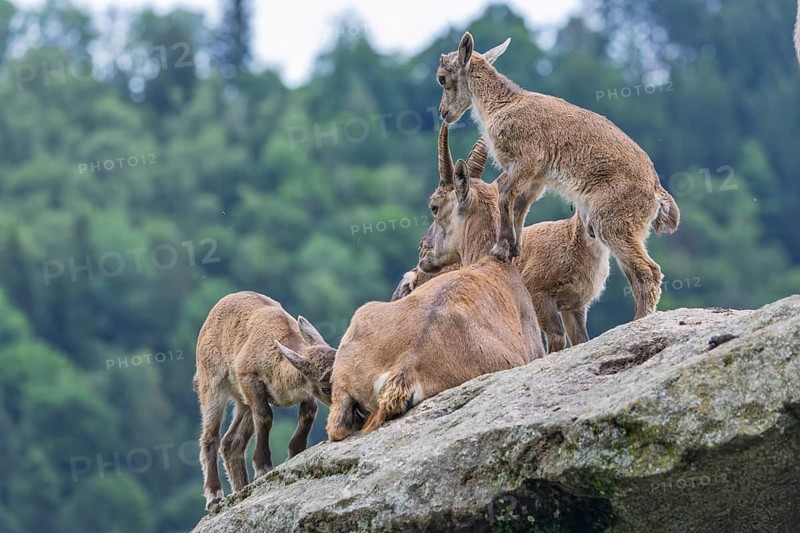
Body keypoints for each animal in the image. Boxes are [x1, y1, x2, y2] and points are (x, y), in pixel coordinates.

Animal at [194, 291, 335, 510]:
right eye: (326, 387)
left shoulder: (303, 389)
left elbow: (310, 409)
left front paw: (295, 450)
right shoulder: (249, 378)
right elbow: (265, 416)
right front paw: (263, 467)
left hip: (242, 401)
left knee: (232, 441)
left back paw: (241, 488)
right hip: (213, 384)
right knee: (210, 437)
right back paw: (214, 495)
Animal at [392, 130, 610, 353]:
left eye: (434, 207)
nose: (423, 248)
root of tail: (413, 278)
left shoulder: (574, 307)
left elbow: (580, 339)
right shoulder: (540, 296)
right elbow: (556, 337)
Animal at [436, 32, 679, 320]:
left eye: (441, 77)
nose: (443, 112)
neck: (503, 105)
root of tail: (656, 192)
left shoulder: (526, 160)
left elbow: (505, 196)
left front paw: (500, 248)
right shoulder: (536, 178)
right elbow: (520, 206)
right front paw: (514, 249)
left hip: (613, 221)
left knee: (647, 272)